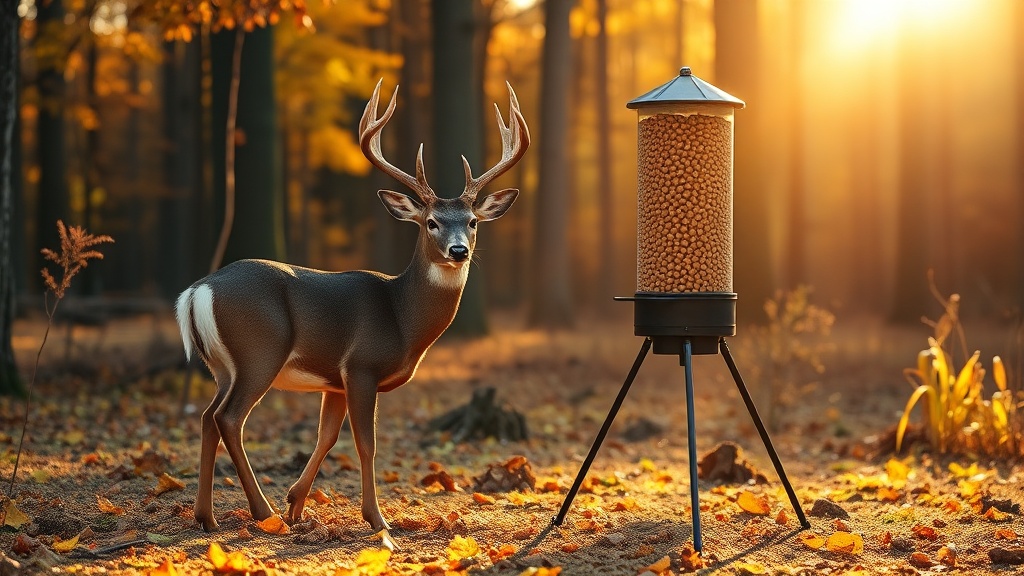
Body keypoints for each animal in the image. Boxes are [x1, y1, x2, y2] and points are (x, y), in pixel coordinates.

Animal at [174, 79, 529, 538]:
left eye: (472, 221)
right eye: (431, 221)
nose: (458, 250)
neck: (402, 317)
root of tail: (197, 290)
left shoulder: (334, 381)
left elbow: (326, 437)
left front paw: (297, 504)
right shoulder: (361, 366)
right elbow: (365, 443)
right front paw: (377, 520)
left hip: (221, 365)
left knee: (206, 417)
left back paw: (208, 516)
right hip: (259, 351)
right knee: (229, 418)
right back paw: (263, 512)